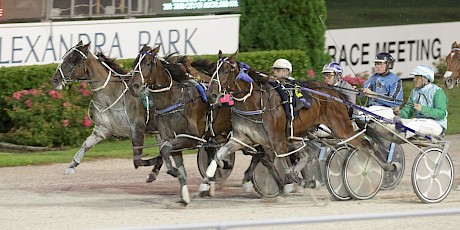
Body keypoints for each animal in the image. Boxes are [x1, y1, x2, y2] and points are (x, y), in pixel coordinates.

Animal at [49, 41, 162, 181]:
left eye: (73, 58)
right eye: (65, 56)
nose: (55, 79)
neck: (112, 95)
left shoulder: (137, 128)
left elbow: (139, 160)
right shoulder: (103, 129)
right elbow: (86, 144)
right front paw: (72, 166)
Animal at [127, 45, 234, 205]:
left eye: (147, 62)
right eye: (134, 63)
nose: (134, 86)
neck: (173, 100)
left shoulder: (190, 138)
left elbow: (165, 149)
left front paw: (172, 171)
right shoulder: (171, 139)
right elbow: (169, 154)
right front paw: (184, 196)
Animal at [198, 50, 380, 198]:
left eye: (226, 71)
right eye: (213, 70)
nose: (211, 94)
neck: (254, 103)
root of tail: (334, 92)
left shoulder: (277, 141)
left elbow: (284, 168)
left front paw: (295, 183)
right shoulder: (241, 139)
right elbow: (219, 155)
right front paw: (204, 184)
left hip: (340, 128)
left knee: (366, 146)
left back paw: (373, 170)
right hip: (303, 133)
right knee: (309, 154)